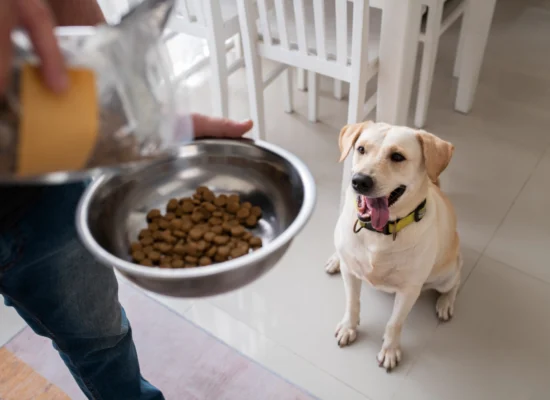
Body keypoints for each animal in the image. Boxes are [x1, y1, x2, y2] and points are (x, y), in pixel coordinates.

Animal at [326, 121, 464, 372]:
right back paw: (335, 259)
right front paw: (349, 327)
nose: (359, 181)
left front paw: (390, 350)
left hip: (445, 275)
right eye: (361, 149)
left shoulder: (409, 290)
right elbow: (352, 303)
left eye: (397, 156)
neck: (378, 232)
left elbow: (395, 323)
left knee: (456, 281)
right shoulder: (350, 274)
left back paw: (445, 303)